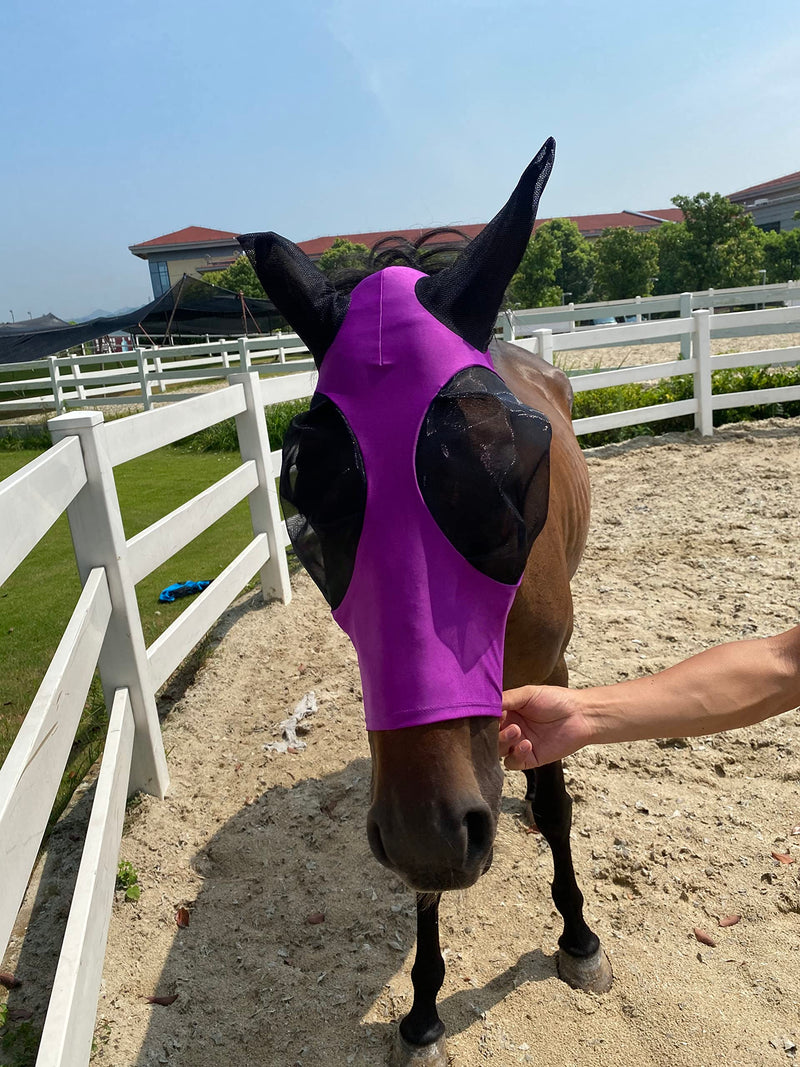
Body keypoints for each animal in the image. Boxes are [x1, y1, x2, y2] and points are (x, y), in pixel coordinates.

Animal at [238, 137, 612, 1066]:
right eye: (312, 491)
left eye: (499, 479)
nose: (431, 834)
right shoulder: (416, 769)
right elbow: (422, 882)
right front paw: (421, 1007)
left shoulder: (545, 671)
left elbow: (558, 804)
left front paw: (578, 936)